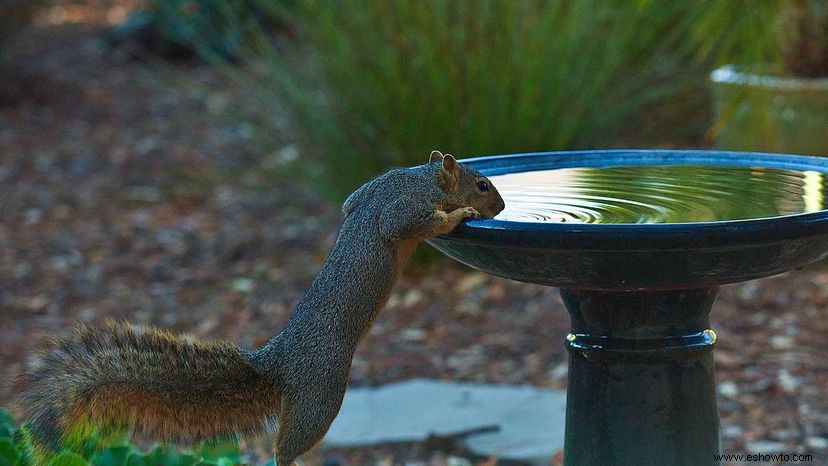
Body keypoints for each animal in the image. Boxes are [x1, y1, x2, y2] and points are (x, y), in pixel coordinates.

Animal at [17, 150, 504, 466]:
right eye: (482, 184)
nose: (500, 206)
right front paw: (458, 214)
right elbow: (406, 224)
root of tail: (280, 363)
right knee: (289, 445)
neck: (420, 179)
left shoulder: (367, 190)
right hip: (321, 394)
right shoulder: (401, 209)